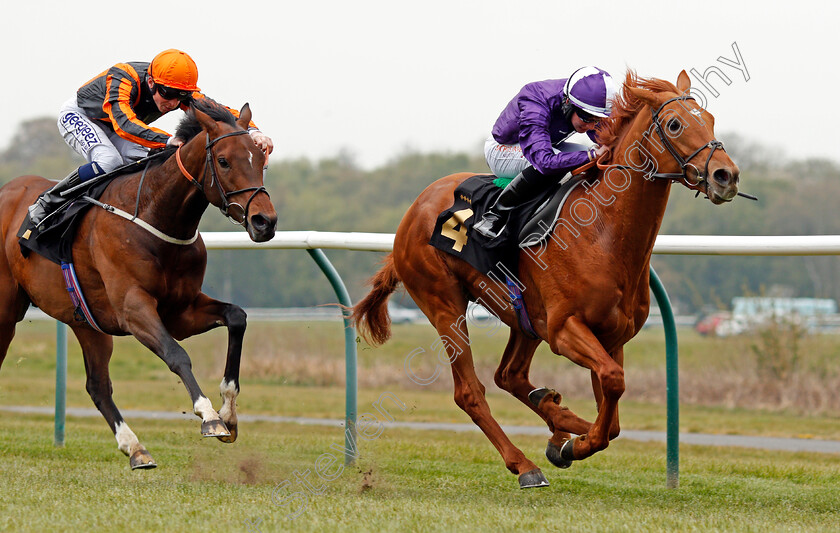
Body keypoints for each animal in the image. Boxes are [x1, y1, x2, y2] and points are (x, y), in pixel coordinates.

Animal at [0, 97, 278, 468]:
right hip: (6, 310)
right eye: (223, 161)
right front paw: (209, 417)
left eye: (261, 160)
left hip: (86, 323)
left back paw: (135, 448)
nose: (265, 221)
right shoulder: (133, 308)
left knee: (98, 386)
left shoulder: (181, 312)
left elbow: (237, 317)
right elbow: (177, 355)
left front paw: (229, 414)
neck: (155, 215)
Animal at [354, 70, 740, 486]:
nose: (726, 175)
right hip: (444, 303)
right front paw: (574, 444)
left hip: (524, 318)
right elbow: (613, 382)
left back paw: (556, 419)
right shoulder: (564, 328)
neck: (604, 234)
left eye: (711, 119)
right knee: (470, 392)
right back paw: (526, 464)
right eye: (674, 124)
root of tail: (414, 211)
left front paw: (567, 439)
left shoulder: (611, 336)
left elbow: (613, 410)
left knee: (509, 375)